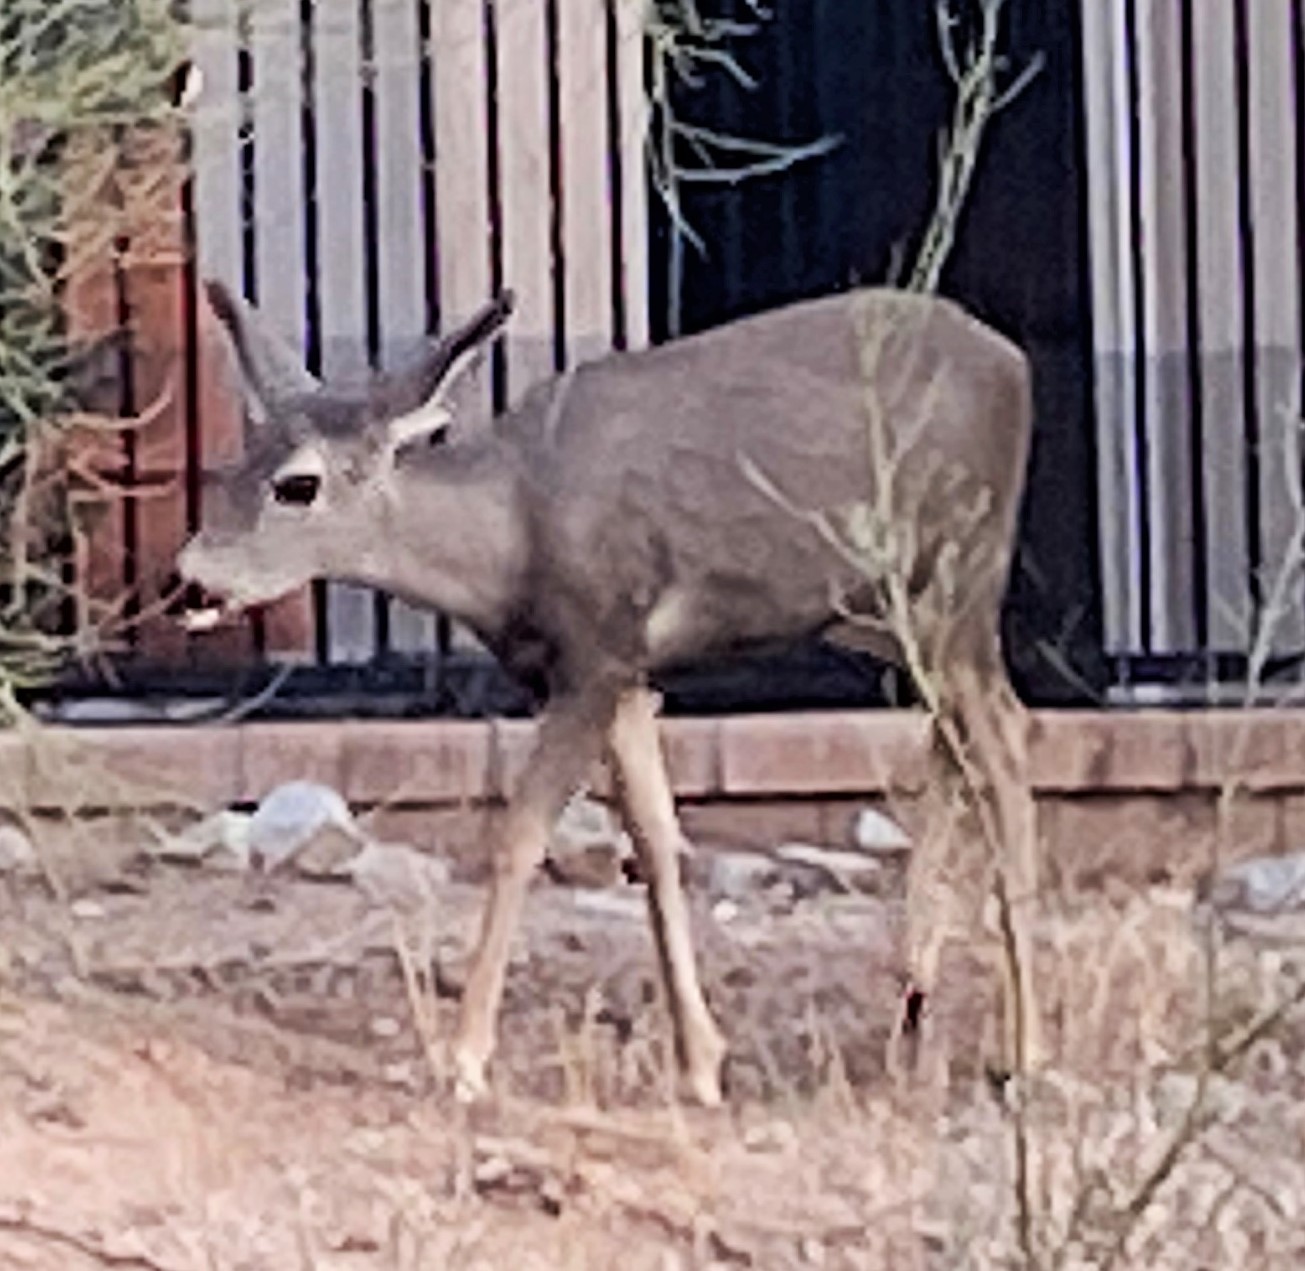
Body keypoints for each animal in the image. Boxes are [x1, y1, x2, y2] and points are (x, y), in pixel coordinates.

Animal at [177, 280, 1038, 1106]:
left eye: (297, 484)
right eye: (231, 465)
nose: (188, 580)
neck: (513, 537)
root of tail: (1014, 362)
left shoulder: (592, 656)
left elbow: (520, 838)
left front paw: (463, 1059)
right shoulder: (622, 670)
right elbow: (655, 840)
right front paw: (700, 1062)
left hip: (957, 580)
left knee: (1004, 753)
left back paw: (1018, 1054)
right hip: (887, 615)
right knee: (957, 746)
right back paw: (913, 1012)